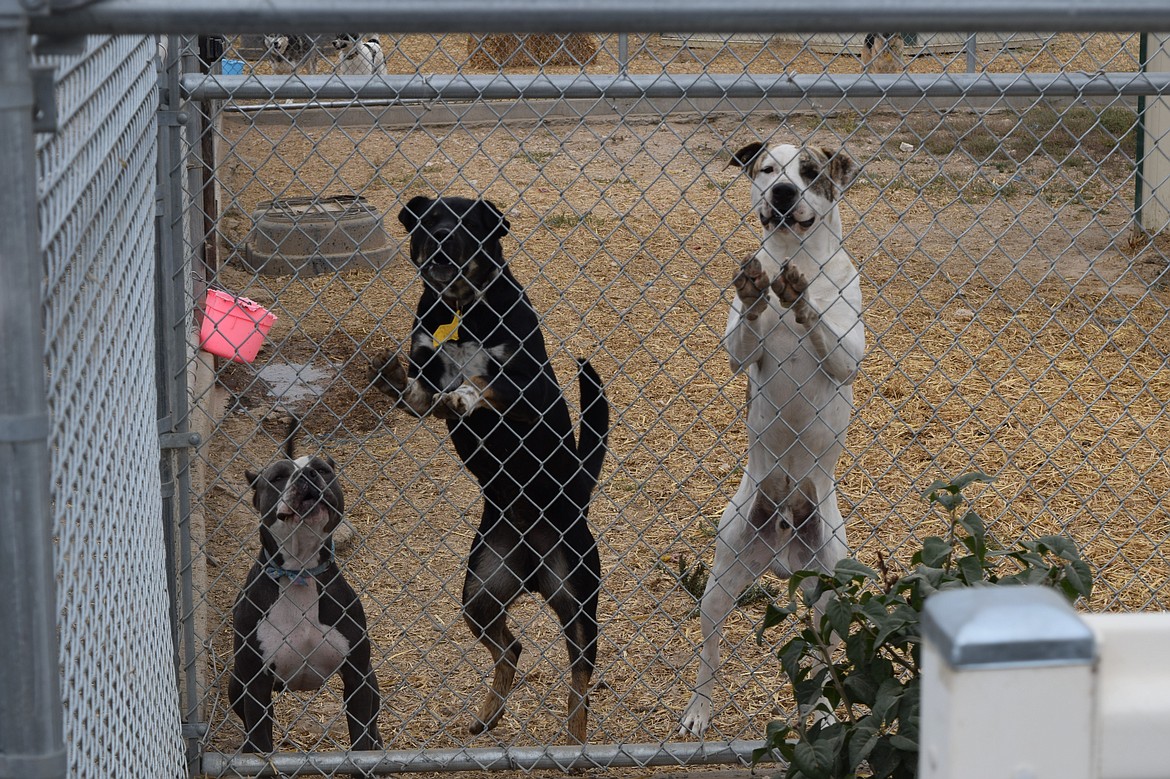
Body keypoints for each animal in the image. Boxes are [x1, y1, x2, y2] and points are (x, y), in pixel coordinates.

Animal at [224, 418, 379, 753]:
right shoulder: (255, 686)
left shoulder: (357, 677)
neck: (301, 572)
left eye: (321, 469)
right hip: (237, 685)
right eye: (279, 477)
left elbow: (361, 737)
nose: (307, 475)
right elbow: (260, 740)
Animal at [367, 194, 613, 739]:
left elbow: (483, 381)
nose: (439, 238)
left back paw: (575, 737)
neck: (462, 309)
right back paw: (490, 712)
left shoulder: (529, 391)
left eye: (466, 223)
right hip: (480, 594)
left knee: (580, 677)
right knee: (512, 647)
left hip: (577, 599)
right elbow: (417, 388)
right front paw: (391, 376)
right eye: (427, 220)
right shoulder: (423, 382)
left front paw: (464, 391)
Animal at [678, 138, 870, 734]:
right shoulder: (741, 354)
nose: (783, 192)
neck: (798, 255)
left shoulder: (847, 357)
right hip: (720, 580)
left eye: (810, 172)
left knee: (826, 660)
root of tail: (784, 547)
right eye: (767, 169)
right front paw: (757, 290)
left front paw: (800, 301)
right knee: (710, 652)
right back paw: (699, 710)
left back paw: (827, 716)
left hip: (829, 591)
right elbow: (747, 328)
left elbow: (822, 326)